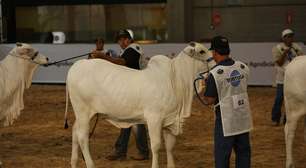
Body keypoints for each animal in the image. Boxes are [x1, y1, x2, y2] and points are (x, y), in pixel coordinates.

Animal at [64, 42, 215, 168]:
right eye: (202, 51)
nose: (215, 64)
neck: (175, 80)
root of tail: (78, 65)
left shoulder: (170, 120)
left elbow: (170, 146)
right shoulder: (154, 118)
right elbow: (156, 146)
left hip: (83, 114)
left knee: (75, 131)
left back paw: (74, 162)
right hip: (83, 111)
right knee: (82, 137)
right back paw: (90, 164)